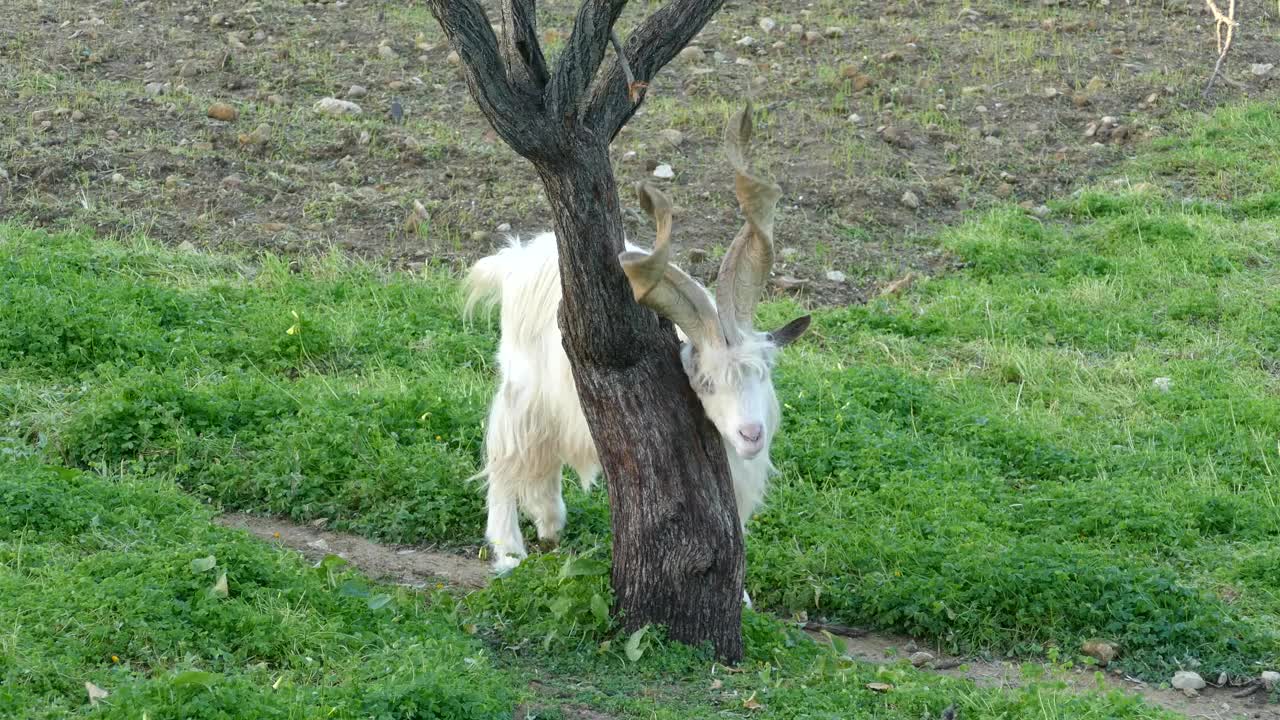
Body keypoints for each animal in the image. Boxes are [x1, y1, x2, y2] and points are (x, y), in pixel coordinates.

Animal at [464, 105, 810, 603]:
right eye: (705, 383)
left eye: (762, 372)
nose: (750, 435)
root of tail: (518, 258)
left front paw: (742, 598)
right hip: (523, 384)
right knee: (505, 453)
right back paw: (509, 551)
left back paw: (550, 524)